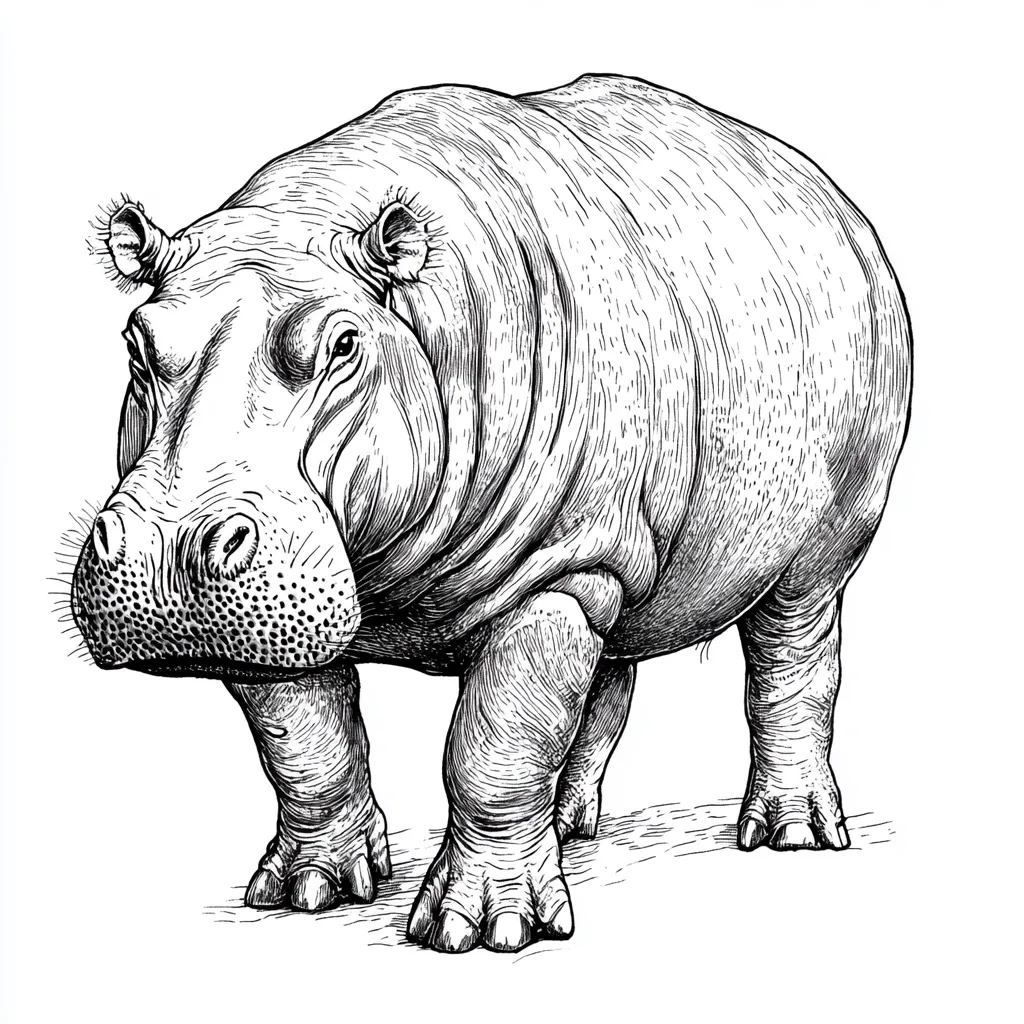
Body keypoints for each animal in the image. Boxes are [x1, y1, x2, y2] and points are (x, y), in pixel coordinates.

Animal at [72, 74, 911, 953]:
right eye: (134, 342)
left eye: (343, 345)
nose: (163, 554)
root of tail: (835, 200)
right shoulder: (280, 605)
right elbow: (306, 743)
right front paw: (307, 893)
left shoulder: (558, 570)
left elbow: (496, 745)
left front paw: (480, 932)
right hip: (618, 558)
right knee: (611, 669)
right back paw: (572, 830)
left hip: (825, 527)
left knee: (793, 649)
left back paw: (791, 836)